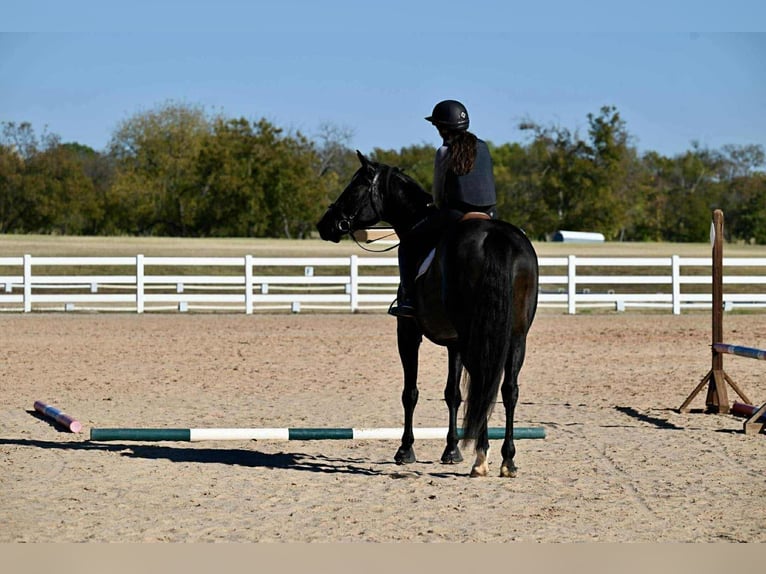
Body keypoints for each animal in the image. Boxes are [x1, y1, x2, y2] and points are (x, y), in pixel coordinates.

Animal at [317, 151, 539, 477]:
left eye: (354, 188)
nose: (326, 224)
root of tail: (495, 238)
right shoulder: (455, 343)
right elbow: (453, 394)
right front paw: (451, 450)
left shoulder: (408, 332)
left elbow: (410, 392)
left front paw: (405, 450)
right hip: (515, 336)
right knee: (507, 389)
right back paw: (506, 460)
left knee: (484, 383)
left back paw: (481, 458)